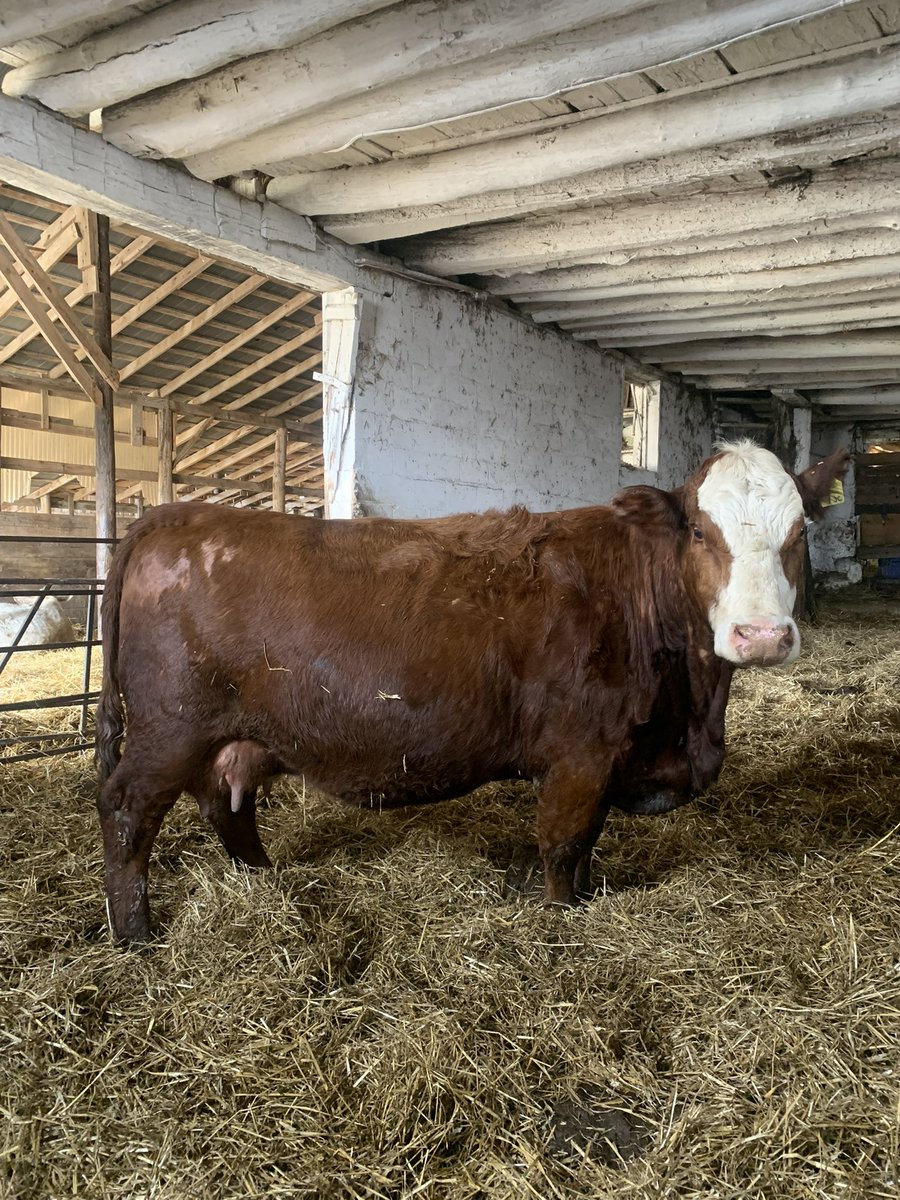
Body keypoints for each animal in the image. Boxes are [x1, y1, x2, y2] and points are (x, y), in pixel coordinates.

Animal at [96, 441, 849, 943]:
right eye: (697, 528)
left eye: (801, 530)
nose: (760, 634)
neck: (690, 710)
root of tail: (178, 516)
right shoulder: (582, 755)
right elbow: (563, 844)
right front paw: (559, 917)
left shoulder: (607, 762)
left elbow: (588, 842)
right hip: (169, 730)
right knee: (128, 809)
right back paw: (136, 933)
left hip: (231, 736)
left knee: (227, 801)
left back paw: (264, 877)